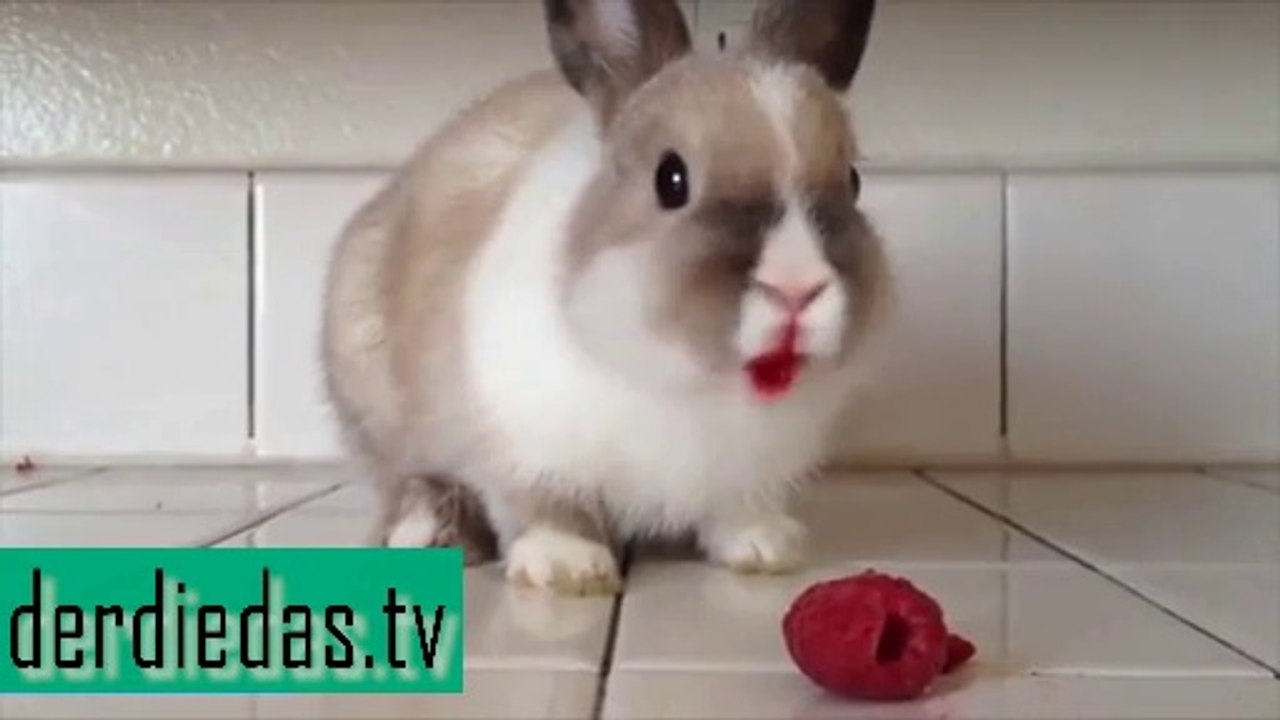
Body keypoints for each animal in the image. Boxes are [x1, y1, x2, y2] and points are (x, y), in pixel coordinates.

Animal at [320, 0, 889, 596]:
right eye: (671, 179)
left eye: (852, 182)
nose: (797, 286)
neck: (684, 381)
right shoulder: (523, 447)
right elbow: (546, 508)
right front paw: (567, 566)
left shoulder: (749, 475)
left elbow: (738, 513)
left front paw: (765, 549)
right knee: (407, 481)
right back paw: (426, 533)